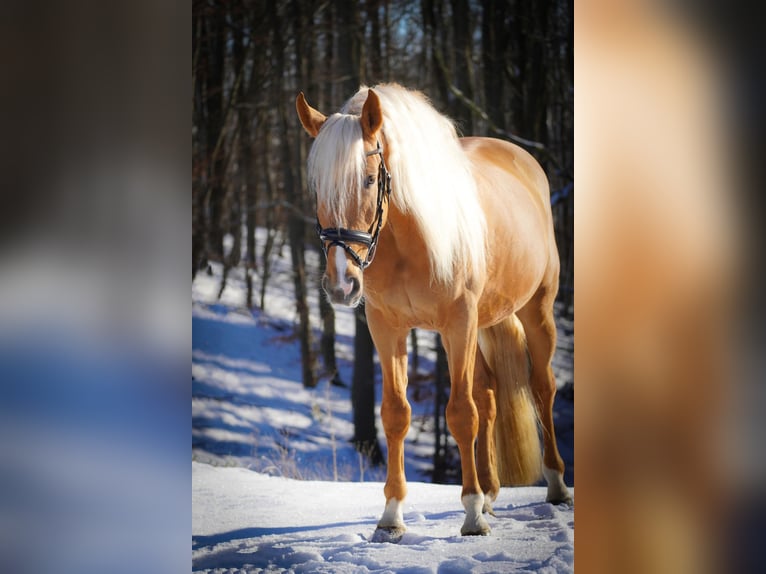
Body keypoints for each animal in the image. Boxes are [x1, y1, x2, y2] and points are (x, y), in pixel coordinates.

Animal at [296, 83, 572, 544]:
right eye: (317, 189)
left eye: (369, 179)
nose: (341, 285)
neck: (409, 240)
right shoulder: (387, 328)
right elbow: (396, 414)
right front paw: (391, 517)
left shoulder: (457, 323)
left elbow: (461, 414)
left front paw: (472, 515)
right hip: (484, 324)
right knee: (489, 394)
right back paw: (492, 492)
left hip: (537, 310)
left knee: (541, 388)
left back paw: (555, 486)